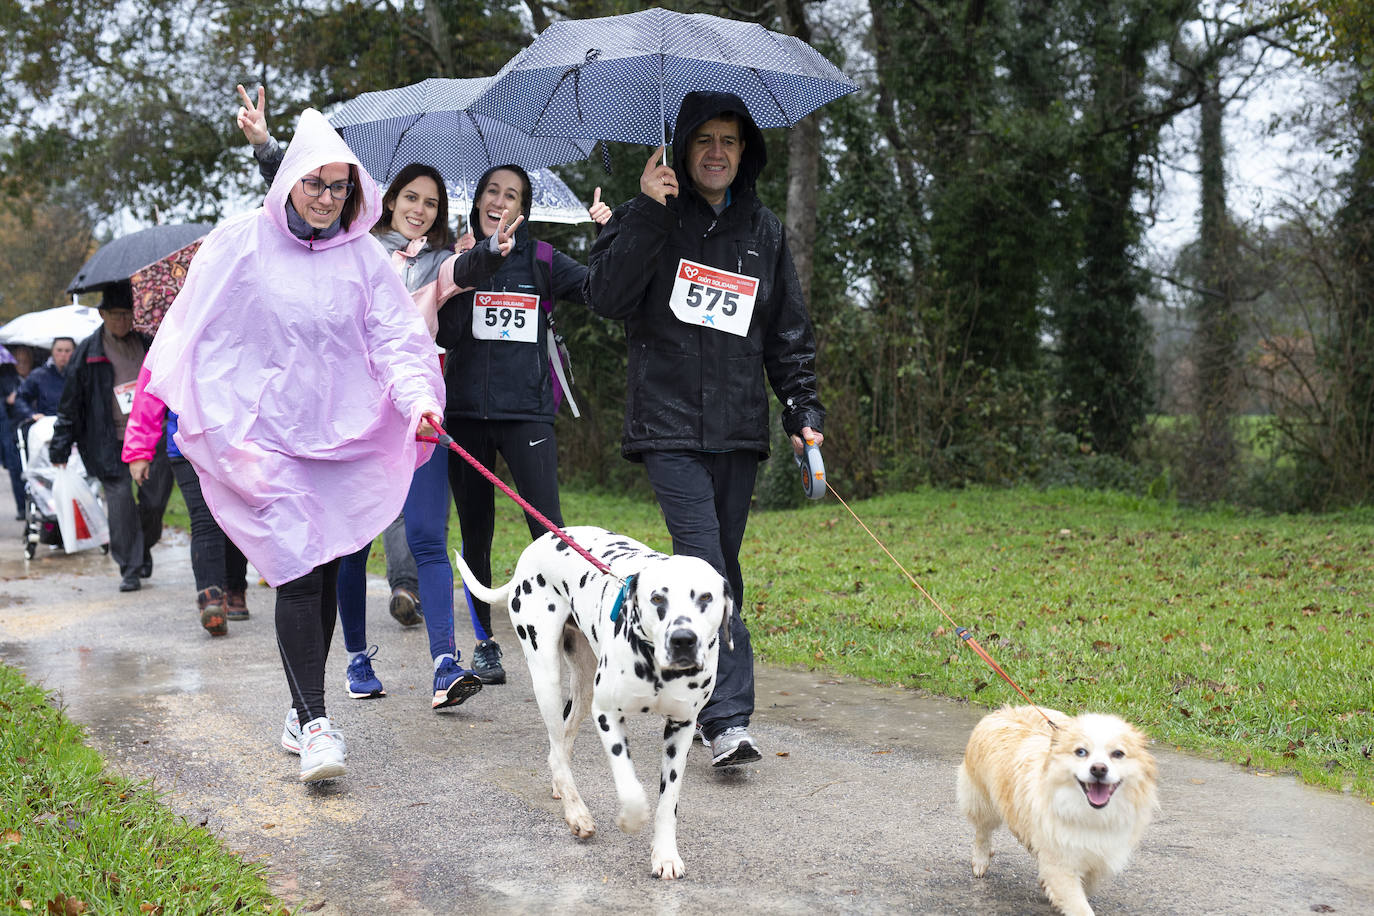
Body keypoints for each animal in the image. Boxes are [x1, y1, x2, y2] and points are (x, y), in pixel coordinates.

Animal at [450, 530, 730, 878]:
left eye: (705, 598)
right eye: (657, 599)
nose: (682, 640)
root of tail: (539, 542)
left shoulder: (681, 726)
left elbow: (669, 800)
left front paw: (665, 855)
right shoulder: (607, 714)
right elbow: (630, 787)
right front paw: (630, 819)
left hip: (582, 689)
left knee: (562, 744)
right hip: (546, 676)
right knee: (556, 749)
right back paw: (577, 814)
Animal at [956, 708, 1159, 911]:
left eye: (1118, 753)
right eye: (1081, 752)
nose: (1099, 769)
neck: (1089, 812)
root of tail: (1003, 710)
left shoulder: (1098, 858)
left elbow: (1086, 886)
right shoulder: (1061, 862)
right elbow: (1078, 905)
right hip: (983, 802)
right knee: (983, 832)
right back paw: (981, 860)